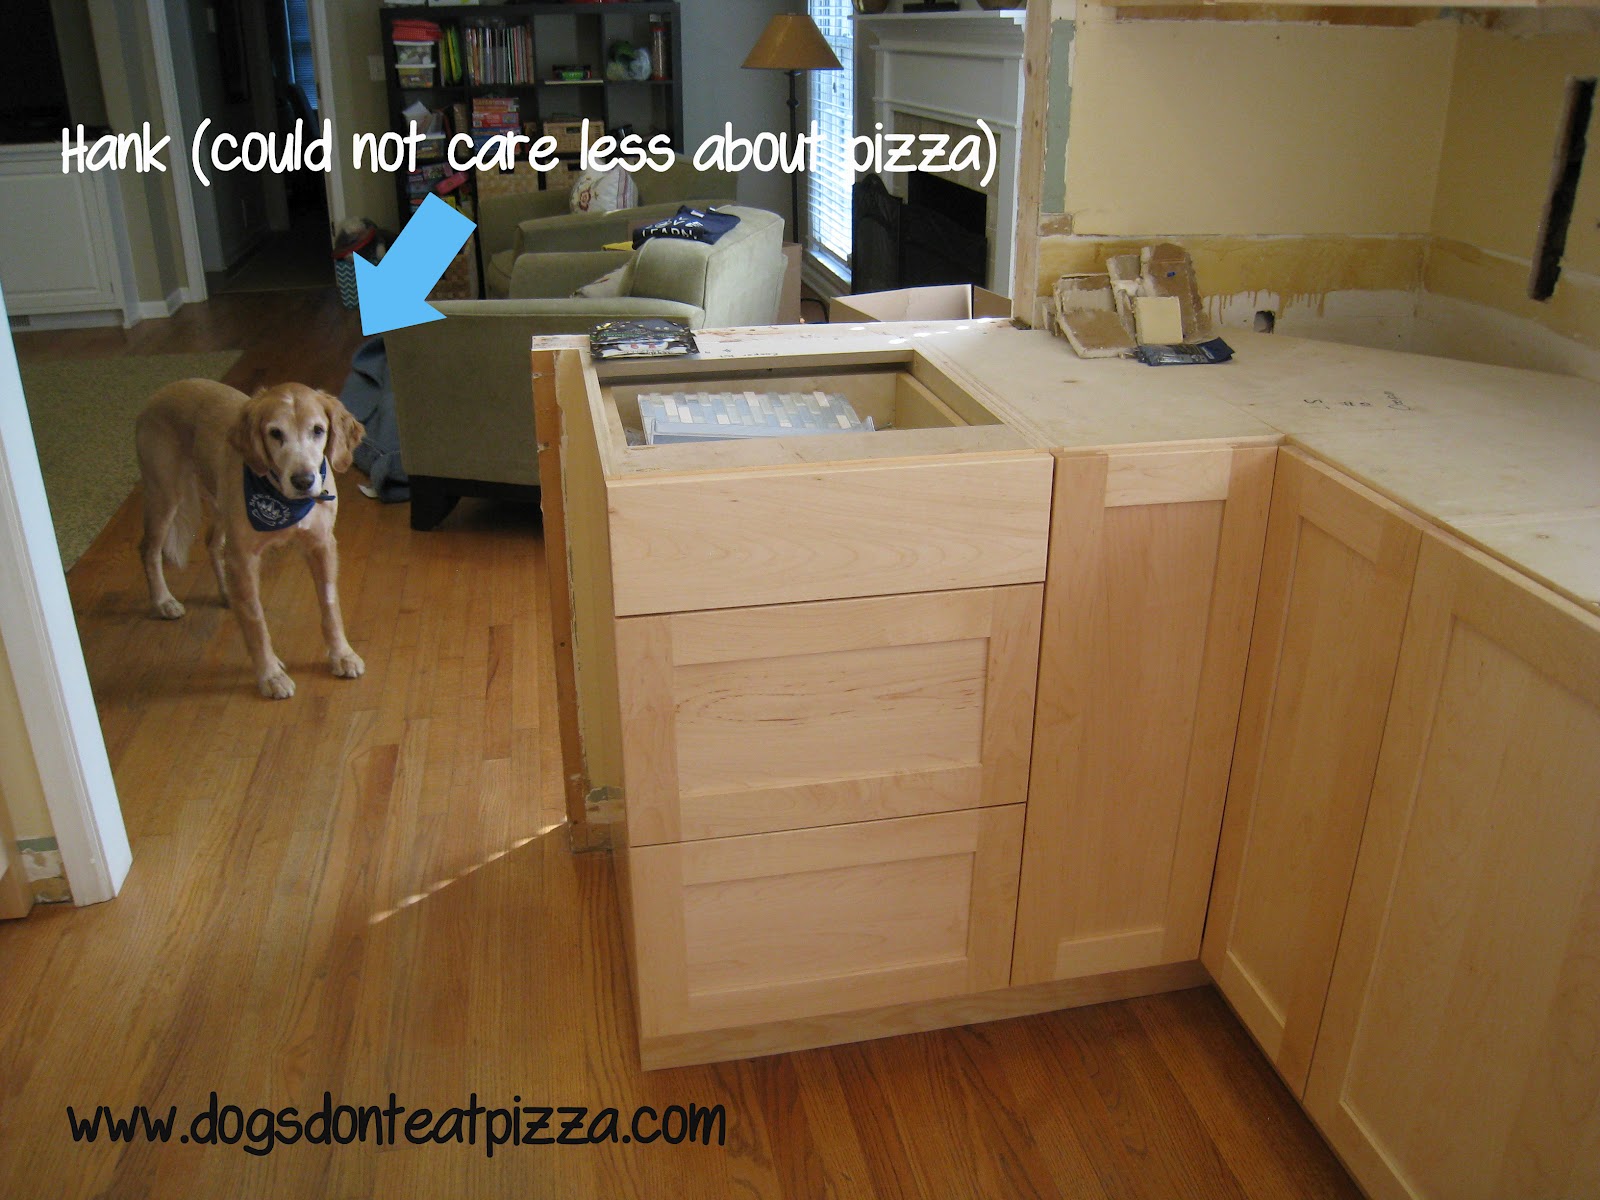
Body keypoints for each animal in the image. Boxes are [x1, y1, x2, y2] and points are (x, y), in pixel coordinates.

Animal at [136, 379, 366, 699]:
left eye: (318, 430)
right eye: (275, 433)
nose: (304, 481)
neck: (283, 500)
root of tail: (163, 391)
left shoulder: (322, 545)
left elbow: (330, 605)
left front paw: (342, 655)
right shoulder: (244, 557)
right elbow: (256, 621)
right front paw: (270, 675)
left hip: (220, 506)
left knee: (211, 543)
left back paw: (226, 593)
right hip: (165, 494)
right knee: (149, 548)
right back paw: (162, 601)